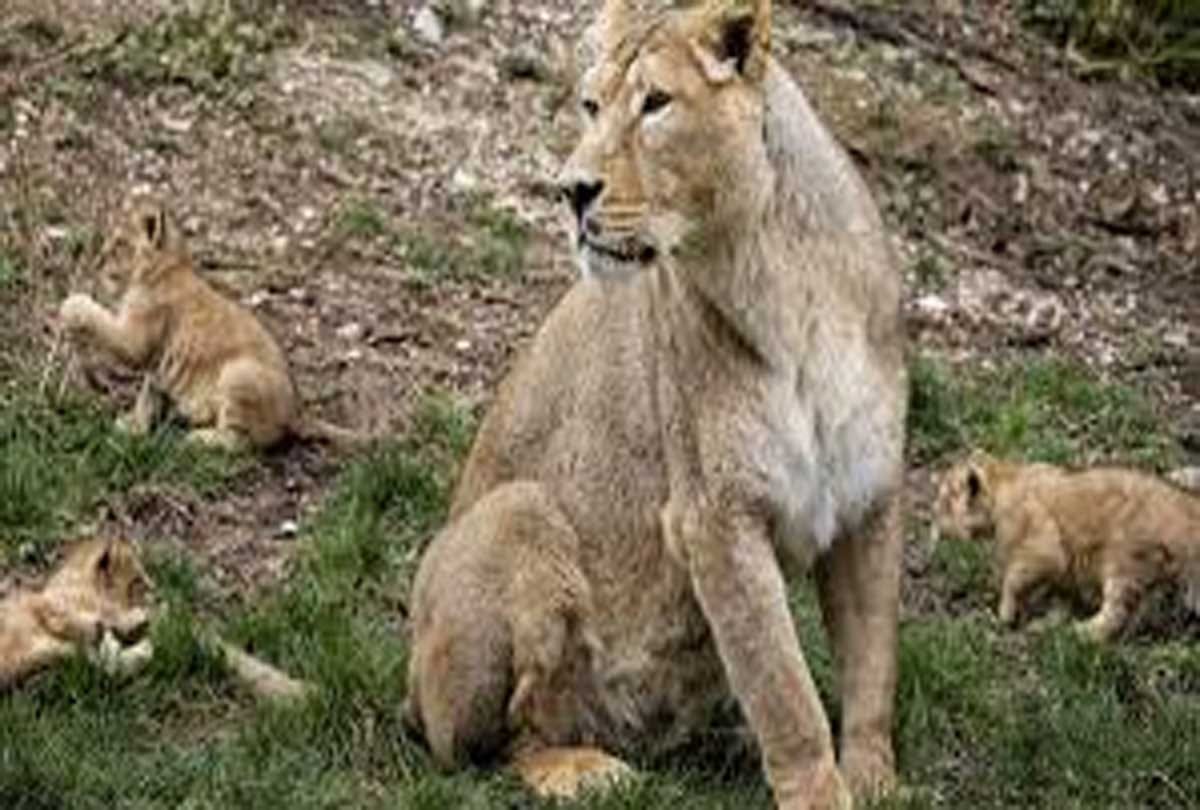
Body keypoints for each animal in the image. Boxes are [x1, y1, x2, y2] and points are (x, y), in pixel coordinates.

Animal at [58, 195, 364, 451]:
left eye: (120, 243)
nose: (97, 261)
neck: (167, 266)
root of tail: (299, 412)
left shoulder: (135, 341)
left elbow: (101, 321)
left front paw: (72, 304)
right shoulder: (155, 362)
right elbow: (148, 394)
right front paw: (134, 427)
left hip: (238, 373)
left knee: (241, 443)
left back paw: (199, 438)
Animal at [405, 2, 907, 808]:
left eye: (656, 105)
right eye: (590, 105)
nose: (572, 190)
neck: (780, 273)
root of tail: (409, 692)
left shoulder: (870, 495)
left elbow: (870, 668)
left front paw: (873, 779)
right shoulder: (715, 517)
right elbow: (785, 690)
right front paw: (820, 789)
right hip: (519, 512)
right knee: (493, 745)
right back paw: (586, 770)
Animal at [933, 452, 1200, 642]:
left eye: (945, 500)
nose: (932, 521)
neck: (1004, 480)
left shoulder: (1043, 547)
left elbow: (1013, 579)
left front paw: (1005, 611)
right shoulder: (1064, 572)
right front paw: (1049, 616)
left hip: (1125, 560)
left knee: (1116, 615)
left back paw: (1080, 632)